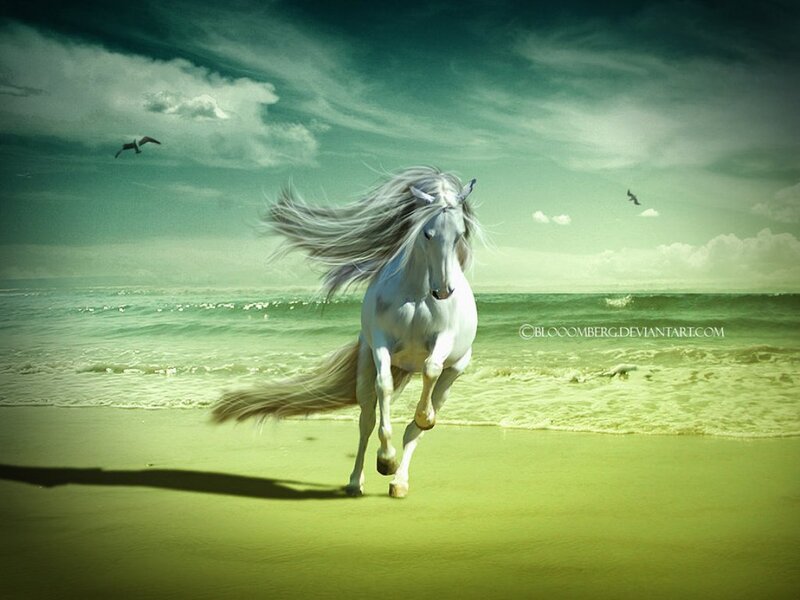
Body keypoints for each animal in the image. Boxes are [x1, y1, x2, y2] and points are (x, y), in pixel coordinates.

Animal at [212, 166, 482, 498]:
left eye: (460, 233)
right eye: (427, 233)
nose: (443, 291)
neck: (417, 293)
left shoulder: (443, 340)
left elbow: (430, 369)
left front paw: (423, 419)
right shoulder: (380, 344)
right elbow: (384, 388)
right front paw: (385, 459)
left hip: (453, 372)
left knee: (416, 427)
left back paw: (400, 480)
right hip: (368, 365)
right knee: (366, 421)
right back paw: (359, 481)